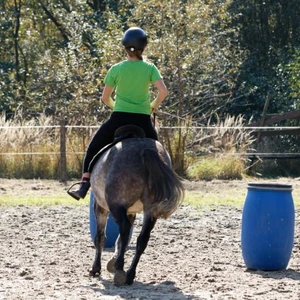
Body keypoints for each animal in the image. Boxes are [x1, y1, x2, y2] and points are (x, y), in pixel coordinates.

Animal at [89, 126, 184, 286]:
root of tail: (146, 149)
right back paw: (129, 275)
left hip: (115, 206)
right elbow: (122, 240)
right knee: (142, 239)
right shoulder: (130, 212)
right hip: (150, 210)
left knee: (124, 230)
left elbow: (100, 237)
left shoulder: (101, 207)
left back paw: (120, 270)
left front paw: (96, 268)